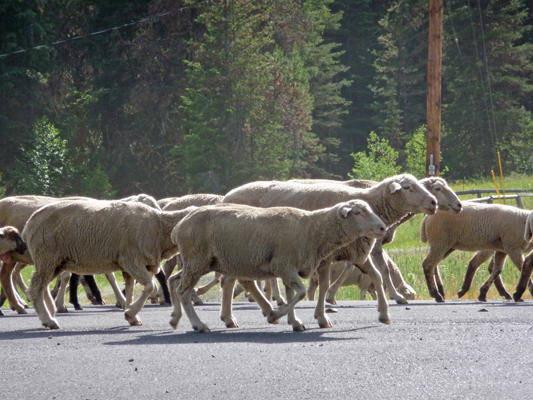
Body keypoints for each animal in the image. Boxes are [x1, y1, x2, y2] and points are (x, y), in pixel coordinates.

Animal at [22, 198, 196, 330]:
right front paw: (130, 313)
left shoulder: (129, 265)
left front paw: (132, 316)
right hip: (46, 255)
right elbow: (149, 286)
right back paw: (49, 320)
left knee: (41, 286)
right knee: (35, 288)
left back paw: (50, 313)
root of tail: (29, 223)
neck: (159, 227)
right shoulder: (132, 260)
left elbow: (130, 290)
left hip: (55, 261)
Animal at [168, 199, 384, 332]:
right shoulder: (284, 265)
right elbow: (301, 293)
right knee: (184, 291)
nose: (382, 228)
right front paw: (276, 314)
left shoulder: (290, 267)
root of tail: (178, 227)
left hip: (199, 261)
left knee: (175, 281)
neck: (312, 229)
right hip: (197, 259)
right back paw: (199, 325)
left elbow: (292, 294)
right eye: (358, 213)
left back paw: (175, 318)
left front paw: (295, 322)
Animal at [220, 174, 436, 328]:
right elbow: (324, 286)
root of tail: (227, 195)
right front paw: (321, 315)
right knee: (230, 280)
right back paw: (233, 316)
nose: (434, 202)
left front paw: (385, 312)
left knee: (237, 280)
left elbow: (378, 275)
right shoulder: (327, 256)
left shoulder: (357, 252)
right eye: (407, 187)